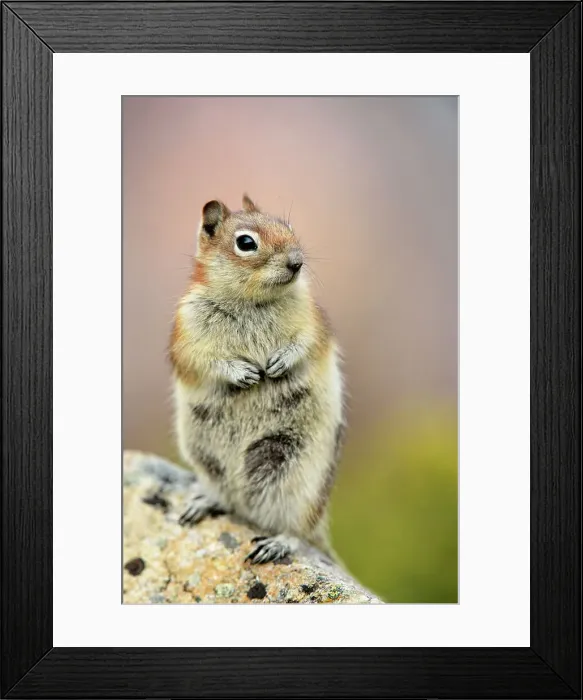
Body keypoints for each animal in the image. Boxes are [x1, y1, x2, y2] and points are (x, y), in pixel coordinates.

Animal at [169, 194, 345, 564]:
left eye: (288, 225)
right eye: (246, 243)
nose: (297, 262)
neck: (252, 302)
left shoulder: (313, 322)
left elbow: (306, 344)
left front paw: (280, 362)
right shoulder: (187, 335)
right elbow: (204, 362)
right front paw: (243, 372)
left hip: (297, 479)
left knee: (297, 530)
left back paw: (276, 544)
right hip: (206, 461)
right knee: (229, 499)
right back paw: (203, 504)